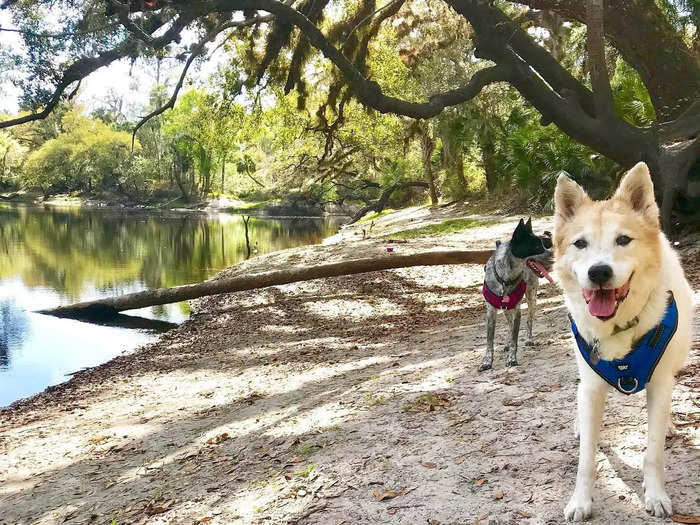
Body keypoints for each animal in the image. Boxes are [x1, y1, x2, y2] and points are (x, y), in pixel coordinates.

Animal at [478, 219, 556, 370]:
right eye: (537, 246)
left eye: (544, 244)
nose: (555, 256)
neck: (505, 279)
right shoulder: (491, 312)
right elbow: (490, 340)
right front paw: (487, 361)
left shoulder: (517, 310)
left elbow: (515, 337)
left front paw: (512, 359)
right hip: (506, 309)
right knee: (509, 325)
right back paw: (507, 344)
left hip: (531, 298)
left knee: (529, 320)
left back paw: (529, 339)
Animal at [552, 163, 696, 520]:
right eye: (580, 244)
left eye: (623, 240)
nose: (599, 272)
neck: (620, 326)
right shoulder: (591, 387)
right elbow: (586, 459)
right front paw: (581, 500)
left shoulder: (660, 383)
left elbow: (653, 452)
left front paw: (655, 495)